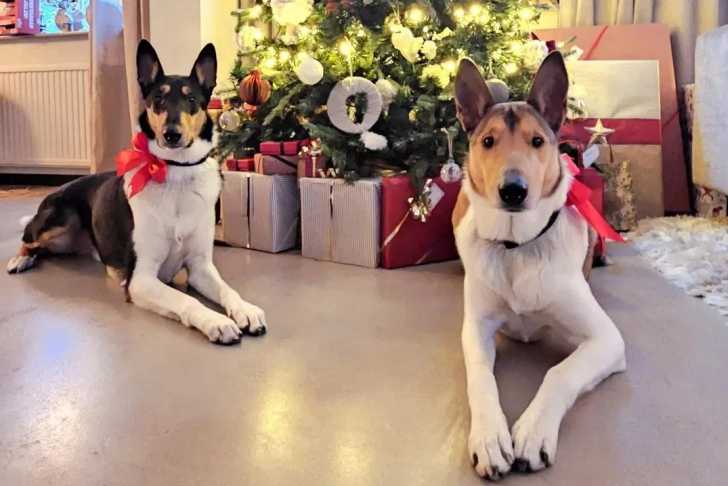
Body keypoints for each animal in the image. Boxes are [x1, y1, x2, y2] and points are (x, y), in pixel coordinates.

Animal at [7, 40, 267, 345]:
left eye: (191, 100)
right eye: (158, 99)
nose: (171, 134)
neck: (174, 173)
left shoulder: (200, 266)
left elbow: (228, 289)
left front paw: (245, 310)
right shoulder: (140, 278)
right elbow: (186, 300)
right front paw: (216, 321)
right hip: (60, 218)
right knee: (28, 238)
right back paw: (20, 258)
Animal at [452, 51, 626, 480]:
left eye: (537, 142)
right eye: (488, 141)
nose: (513, 190)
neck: (517, 248)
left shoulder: (607, 339)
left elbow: (559, 372)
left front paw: (532, 433)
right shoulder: (476, 327)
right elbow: (480, 376)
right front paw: (489, 439)